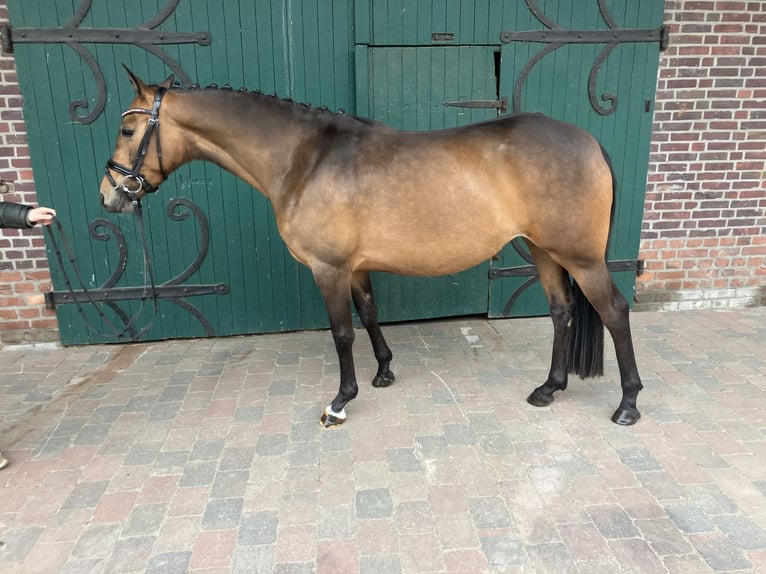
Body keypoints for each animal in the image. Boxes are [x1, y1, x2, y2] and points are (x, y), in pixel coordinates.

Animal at [100, 67, 643, 427]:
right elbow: (369, 314)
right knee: (561, 311)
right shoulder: (355, 268)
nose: (110, 195)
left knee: (615, 312)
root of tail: (588, 140)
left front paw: (341, 401)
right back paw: (549, 388)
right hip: (544, 250)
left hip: (581, 258)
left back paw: (628, 404)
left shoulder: (328, 268)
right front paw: (384, 372)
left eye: (127, 130)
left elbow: (342, 332)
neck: (306, 159)